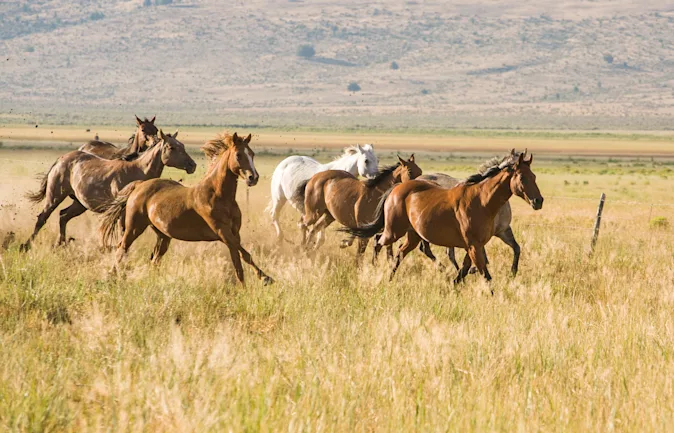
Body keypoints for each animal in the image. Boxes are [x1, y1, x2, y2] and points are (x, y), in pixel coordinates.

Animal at [20, 130, 196, 251]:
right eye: (172, 147)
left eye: (183, 146)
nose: (192, 165)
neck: (137, 170)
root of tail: (61, 159)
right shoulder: (121, 210)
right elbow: (121, 229)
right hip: (55, 196)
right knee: (43, 217)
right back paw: (27, 245)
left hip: (79, 204)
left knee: (63, 216)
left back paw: (60, 244)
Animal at [99, 132, 273, 286]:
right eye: (238, 155)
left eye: (252, 154)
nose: (253, 178)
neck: (219, 196)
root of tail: (139, 185)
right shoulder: (222, 232)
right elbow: (244, 255)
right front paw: (264, 279)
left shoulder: (234, 234)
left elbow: (239, 263)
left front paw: (250, 286)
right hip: (134, 227)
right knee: (122, 248)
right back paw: (112, 277)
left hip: (163, 235)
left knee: (154, 260)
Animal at [342, 150, 543, 289]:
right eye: (522, 177)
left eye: (534, 176)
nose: (538, 201)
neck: (481, 200)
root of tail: (396, 188)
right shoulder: (474, 245)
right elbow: (485, 274)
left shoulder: (475, 244)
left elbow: (466, 270)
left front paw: (454, 285)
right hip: (394, 231)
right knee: (378, 241)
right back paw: (374, 270)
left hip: (413, 236)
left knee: (400, 252)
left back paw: (390, 278)